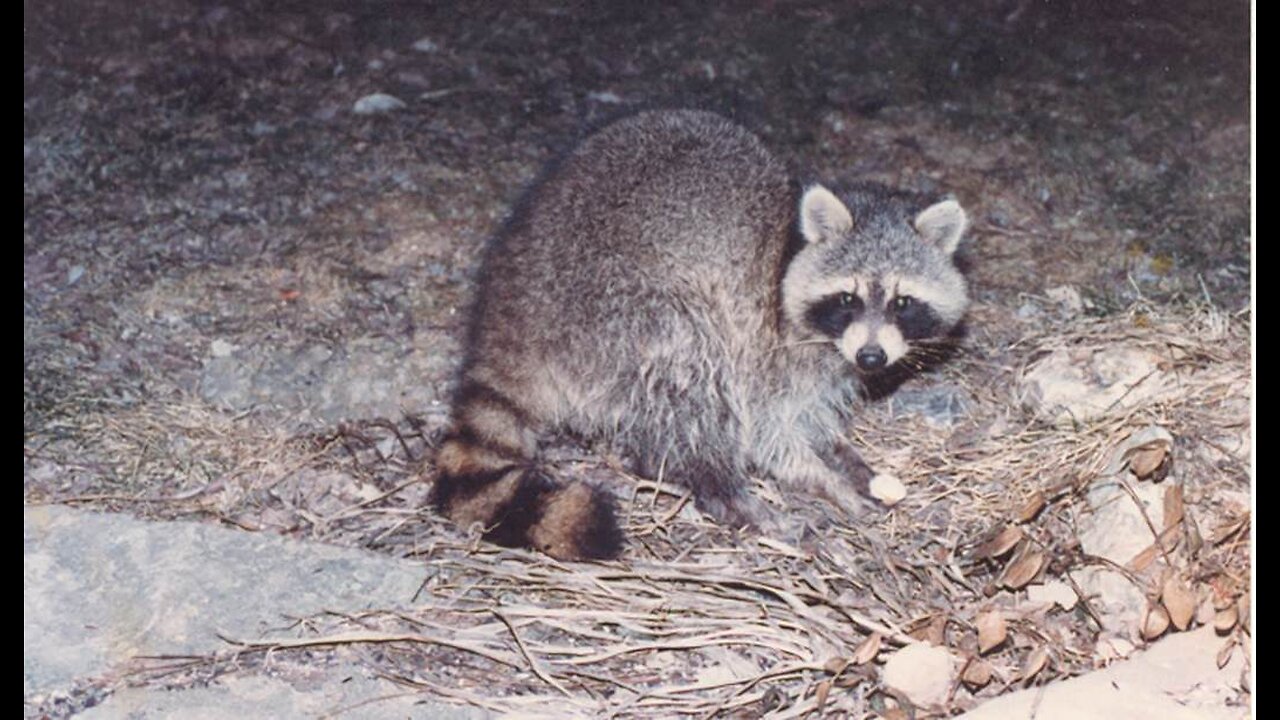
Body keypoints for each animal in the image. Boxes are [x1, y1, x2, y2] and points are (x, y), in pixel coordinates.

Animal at [432, 110, 967, 561]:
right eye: (848, 299)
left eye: (902, 303)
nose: (872, 358)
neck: (788, 252)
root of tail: (512, 308)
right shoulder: (765, 339)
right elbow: (769, 431)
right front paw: (816, 476)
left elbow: (812, 418)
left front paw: (846, 459)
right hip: (616, 307)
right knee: (694, 372)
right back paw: (724, 489)